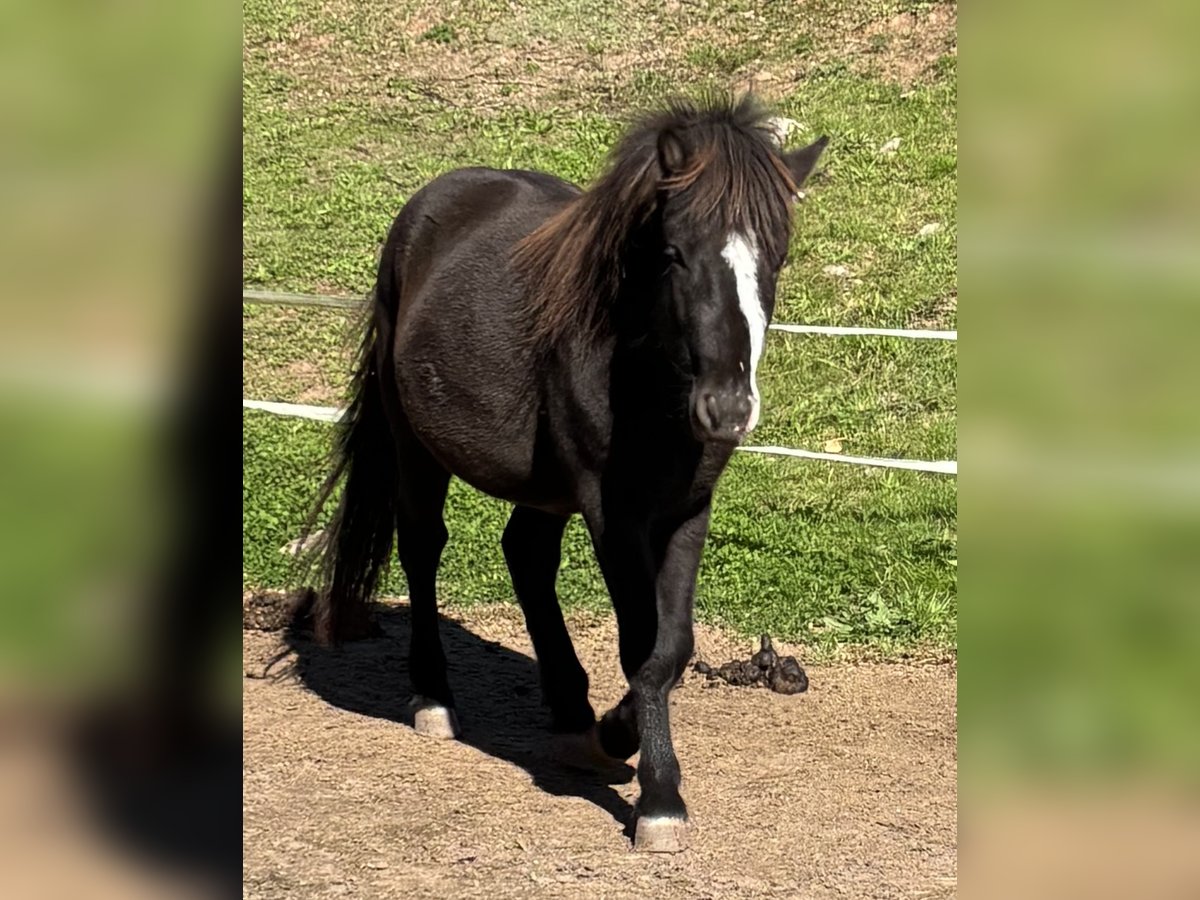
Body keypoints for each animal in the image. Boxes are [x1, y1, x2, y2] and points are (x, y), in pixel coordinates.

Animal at [308, 95, 827, 852]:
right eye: (674, 253)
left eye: (776, 258)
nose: (728, 408)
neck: (645, 380)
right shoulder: (614, 514)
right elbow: (643, 645)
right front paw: (657, 796)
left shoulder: (685, 509)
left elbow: (672, 646)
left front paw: (615, 739)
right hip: (416, 448)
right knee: (423, 548)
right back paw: (435, 698)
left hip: (546, 490)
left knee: (524, 554)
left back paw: (572, 710)